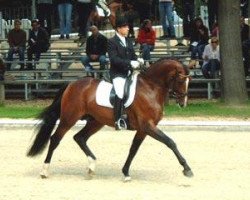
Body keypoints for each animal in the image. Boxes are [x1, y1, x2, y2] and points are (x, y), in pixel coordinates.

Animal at [27, 58, 194, 181]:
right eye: (181, 81)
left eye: (188, 81)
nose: (183, 103)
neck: (151, 88)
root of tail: (72, 84)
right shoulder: (148, 126)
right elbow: (170, 142)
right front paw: (187, 169)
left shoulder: (143, 129)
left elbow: (133, 149)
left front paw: (126, 172)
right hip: (69, 118)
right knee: (55, 139)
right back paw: (44, 171)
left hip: (96, 122)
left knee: (80, 137)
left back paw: (91, 167)